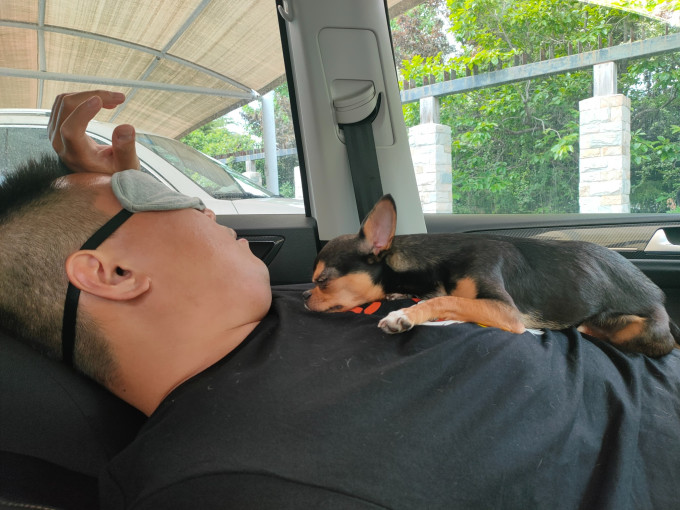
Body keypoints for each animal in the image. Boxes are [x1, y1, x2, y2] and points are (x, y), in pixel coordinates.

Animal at [303, 194, 680, 358]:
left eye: (322, 281)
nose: (305, 297)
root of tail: (662, 300)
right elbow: (442, 296)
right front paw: (399, 297)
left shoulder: (505, 311)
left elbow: (446, 298)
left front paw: (404, 314)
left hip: (641, 327)